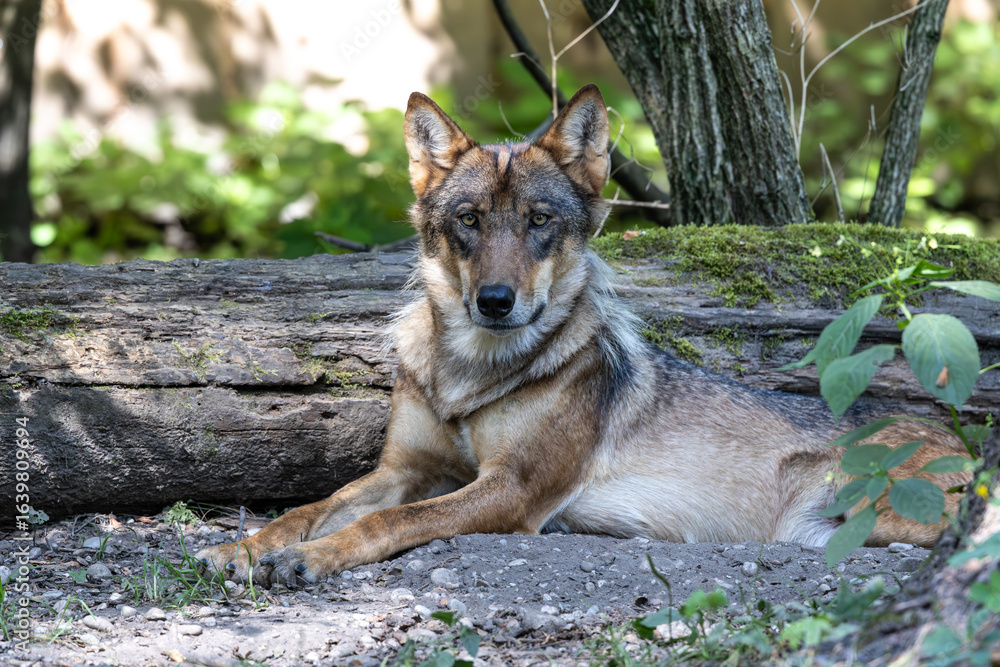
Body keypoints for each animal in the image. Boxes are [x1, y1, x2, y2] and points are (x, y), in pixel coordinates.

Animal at [196, 84, 970, 586]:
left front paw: (305, 559)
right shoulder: (403, 470)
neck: (469, 374)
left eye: (540, 221)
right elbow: (311, 507)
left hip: (862, 507)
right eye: (470, 221)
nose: (496, 301)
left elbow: (382, 525)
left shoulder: (510, 490)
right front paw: (244, 548)